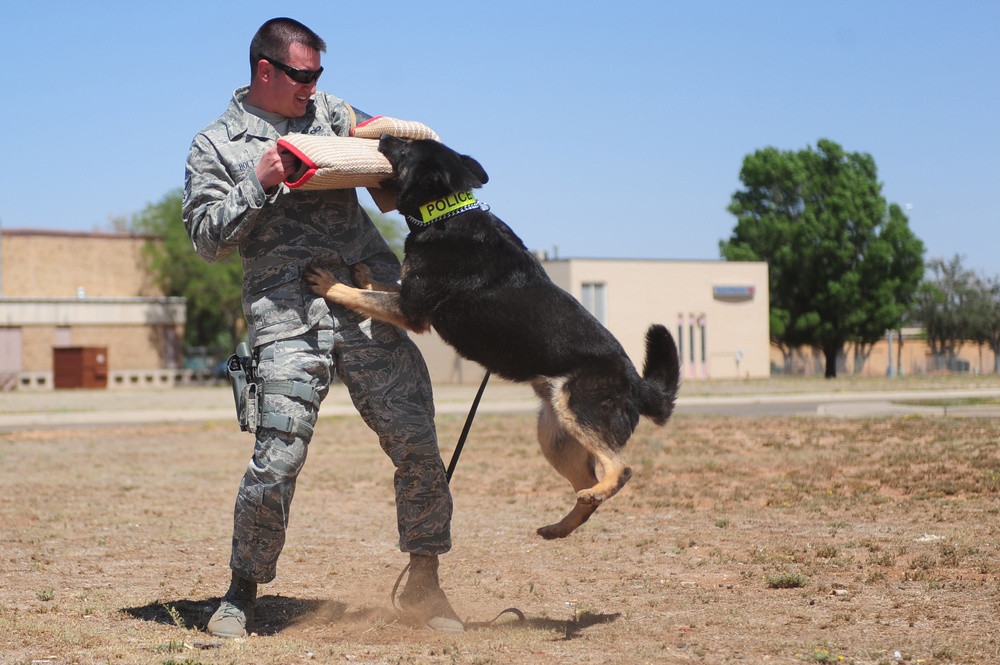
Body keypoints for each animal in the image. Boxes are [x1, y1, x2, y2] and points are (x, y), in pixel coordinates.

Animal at [304, 136, 680, 540]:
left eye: (404, 148)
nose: (383, 137)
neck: (447, 215)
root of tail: (638, 384)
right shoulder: (408, 298)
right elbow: (378, 286)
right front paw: (363, 273)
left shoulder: (411, 311)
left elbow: (362, 296)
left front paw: (330, 283)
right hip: (555, 436)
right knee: (586, 485)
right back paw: (561, 525)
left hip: (578, 409)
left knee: (620, 469)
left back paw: (595, 494)